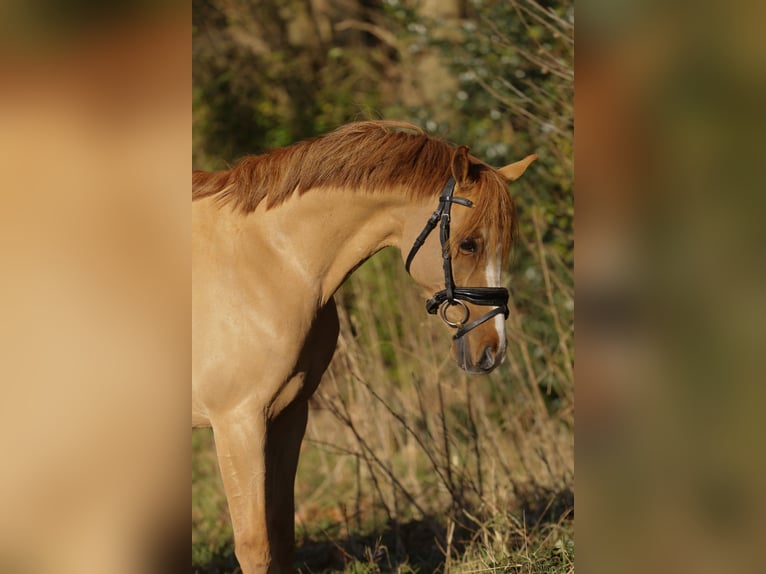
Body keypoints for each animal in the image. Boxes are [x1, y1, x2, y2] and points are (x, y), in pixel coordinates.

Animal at [194, 120, 536, 572]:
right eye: (469, 244)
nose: (492, 349)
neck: (270, 261)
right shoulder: (238, 424)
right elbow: (256, 546)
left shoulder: (288, 414)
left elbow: (282, 536)